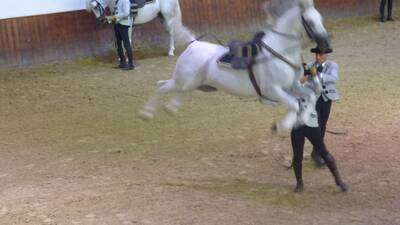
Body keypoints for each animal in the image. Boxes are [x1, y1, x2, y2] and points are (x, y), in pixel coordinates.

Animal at [139, 0, 330, 132]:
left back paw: (171, 108)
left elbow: (309, 96)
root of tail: (193, 43)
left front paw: (299, 121)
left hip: (188, 83)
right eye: (310, 22)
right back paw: (146, 113)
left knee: (171, 88)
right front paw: (282, 126)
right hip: (182, 81)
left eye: (321, 19)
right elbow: (295, 104)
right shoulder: (273, 90)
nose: (327, 46)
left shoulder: (292, 86)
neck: (279, 50)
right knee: (160, 86)